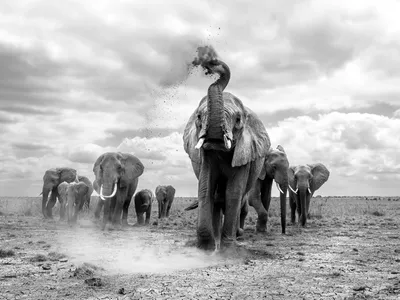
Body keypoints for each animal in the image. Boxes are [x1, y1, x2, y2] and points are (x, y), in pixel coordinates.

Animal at [183, 47, 270, 252]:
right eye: (199, 117)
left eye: (238, 120)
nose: (210, 65)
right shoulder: (206, 156)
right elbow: (206, 187)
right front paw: (205, 249)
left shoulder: (245, 153)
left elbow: (233, 193)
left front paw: (227, 250)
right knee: (216, 197)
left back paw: (235, 237)